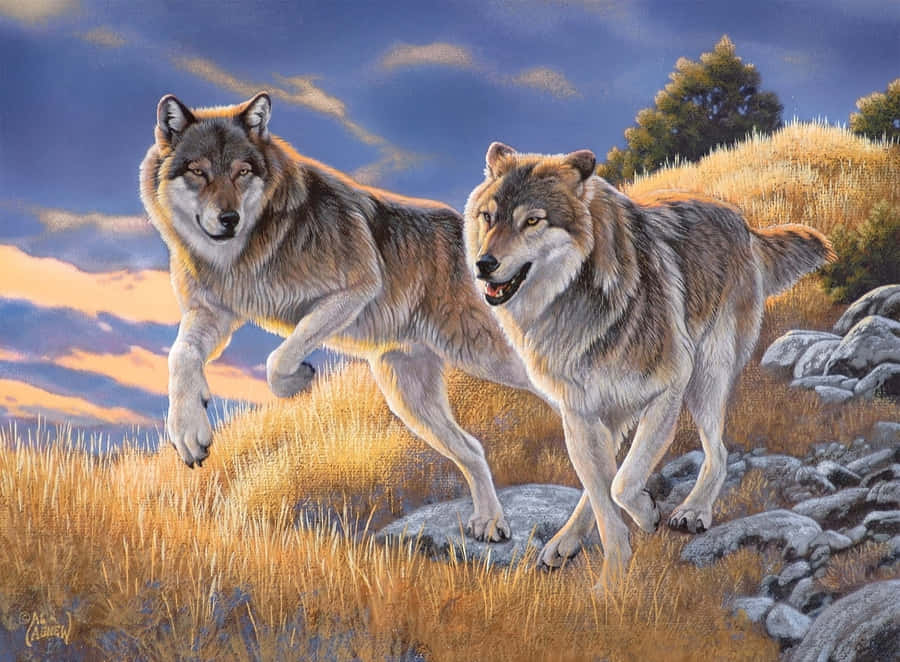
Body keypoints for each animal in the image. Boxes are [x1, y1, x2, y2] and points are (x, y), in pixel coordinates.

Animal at [139, 93, 547, 542]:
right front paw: (189, 432)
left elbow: (277, 359)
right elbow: (180, 356)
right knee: (473, 447)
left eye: (242, 171)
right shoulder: (212, 314)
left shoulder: (355, 290)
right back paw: (490, 522)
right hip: (409, 398)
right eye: (198, 171)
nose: (229, 219)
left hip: (488, 356)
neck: (244, 251)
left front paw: (299, 380)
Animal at [465, 142, 834, 579]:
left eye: (532, 221)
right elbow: (607, 500)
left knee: (718, 452)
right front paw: (611, 582)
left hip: (706, 379)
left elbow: (622, 485)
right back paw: (565, 541)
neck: (576, 305)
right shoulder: (579, 416)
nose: (483, 264)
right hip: (613, 412)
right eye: (488, 217)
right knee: (604, 481)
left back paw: (694, 510)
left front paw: (646, 516)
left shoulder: (668, 391)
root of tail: (742, 221)